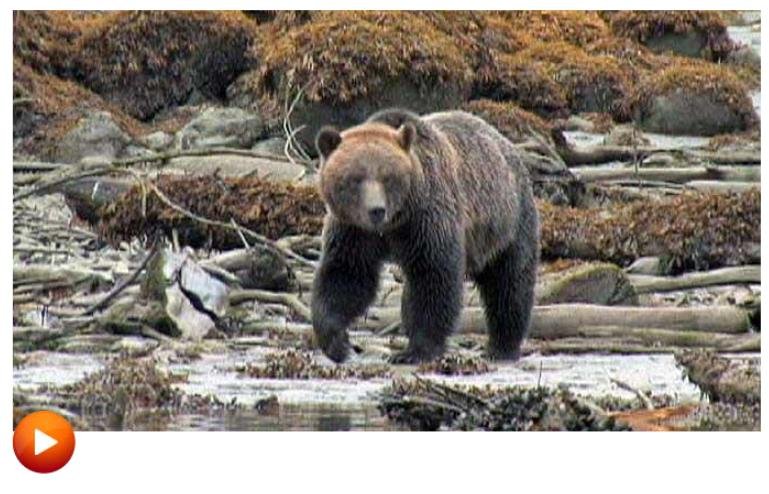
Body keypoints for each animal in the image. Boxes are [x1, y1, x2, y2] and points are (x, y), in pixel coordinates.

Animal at [311, 108, 540, 364]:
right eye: (355, 178)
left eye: (388, 177)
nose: (376, 210)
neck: (394, 224)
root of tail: (508, 146)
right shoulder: (354, 230)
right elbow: (347, 276)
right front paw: (337, 343)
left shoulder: (427, 218)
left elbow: (433, 275)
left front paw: (416, 350)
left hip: (508, 224)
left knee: (509, 285)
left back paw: (501, 347)